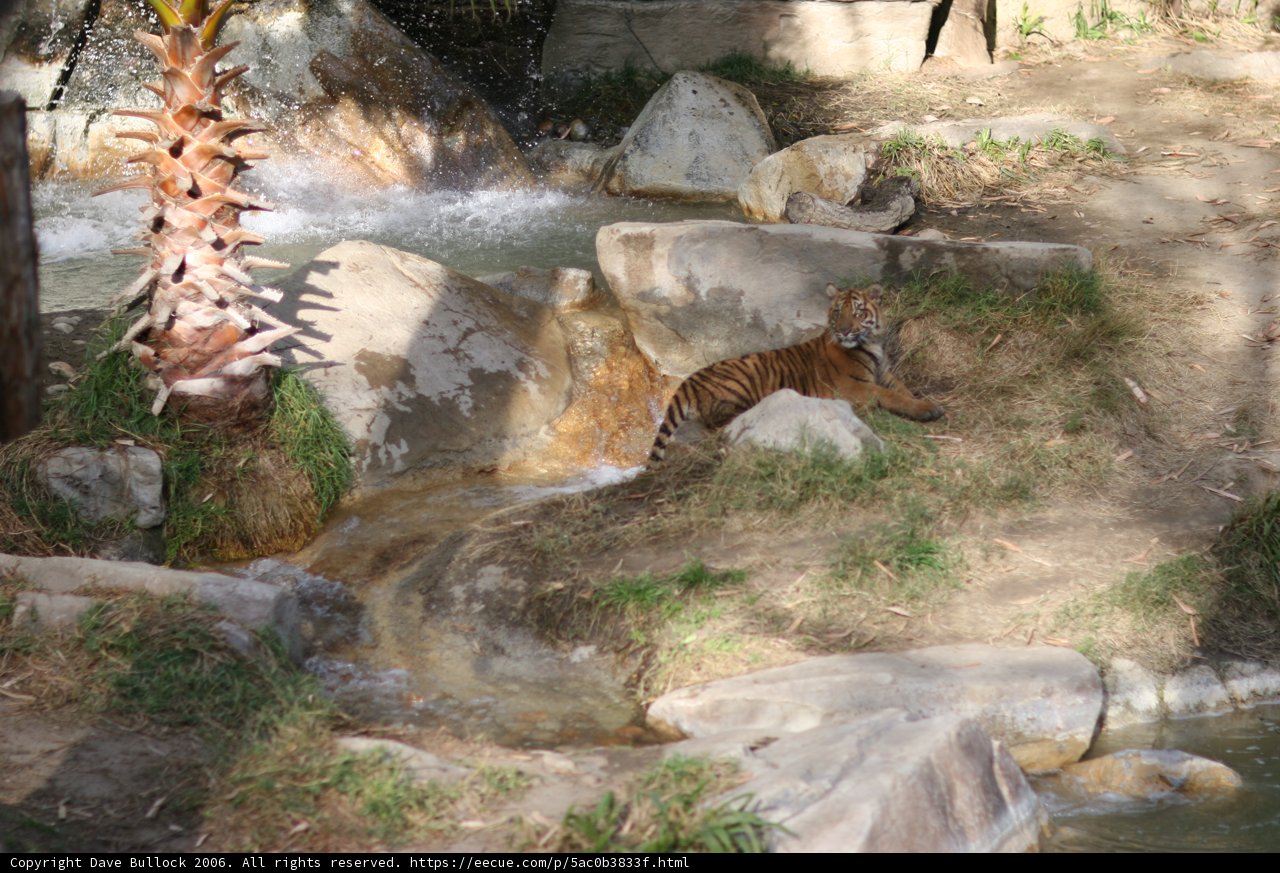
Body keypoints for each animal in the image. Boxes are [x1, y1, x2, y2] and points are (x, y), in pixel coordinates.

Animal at [647, 283, 943, 465]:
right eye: (838, 312)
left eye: (858, 312)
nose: (844, 331)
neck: (871, 343)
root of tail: (689, 380)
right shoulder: (855, 388)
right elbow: (891, 396)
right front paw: (925, 410)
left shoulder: (885, 374)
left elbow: (903, 390)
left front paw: (927, 405)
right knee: (722, 422)